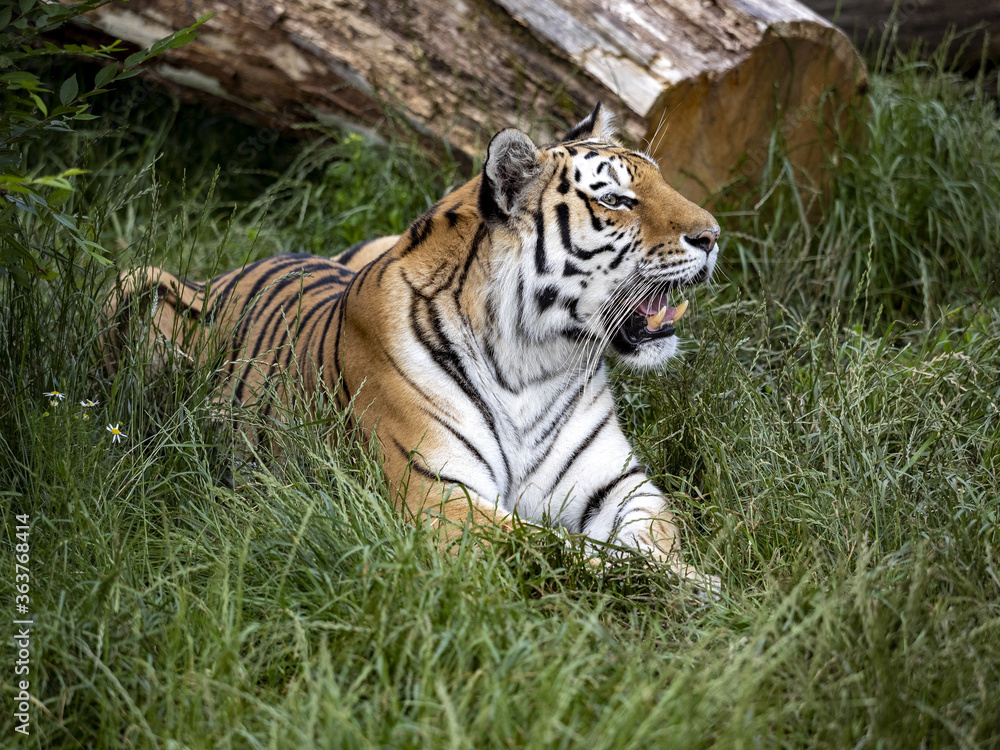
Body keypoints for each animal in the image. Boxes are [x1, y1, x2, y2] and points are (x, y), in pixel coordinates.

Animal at [107, 104, 720, 588]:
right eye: (615, 199)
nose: (713, 236)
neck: (536, 362)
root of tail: (226, 273)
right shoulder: (439, 499)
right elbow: (568, 549)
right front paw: (702, 590)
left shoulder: (619, 486)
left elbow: (654, 537)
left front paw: (698, 580)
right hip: (135, 287)